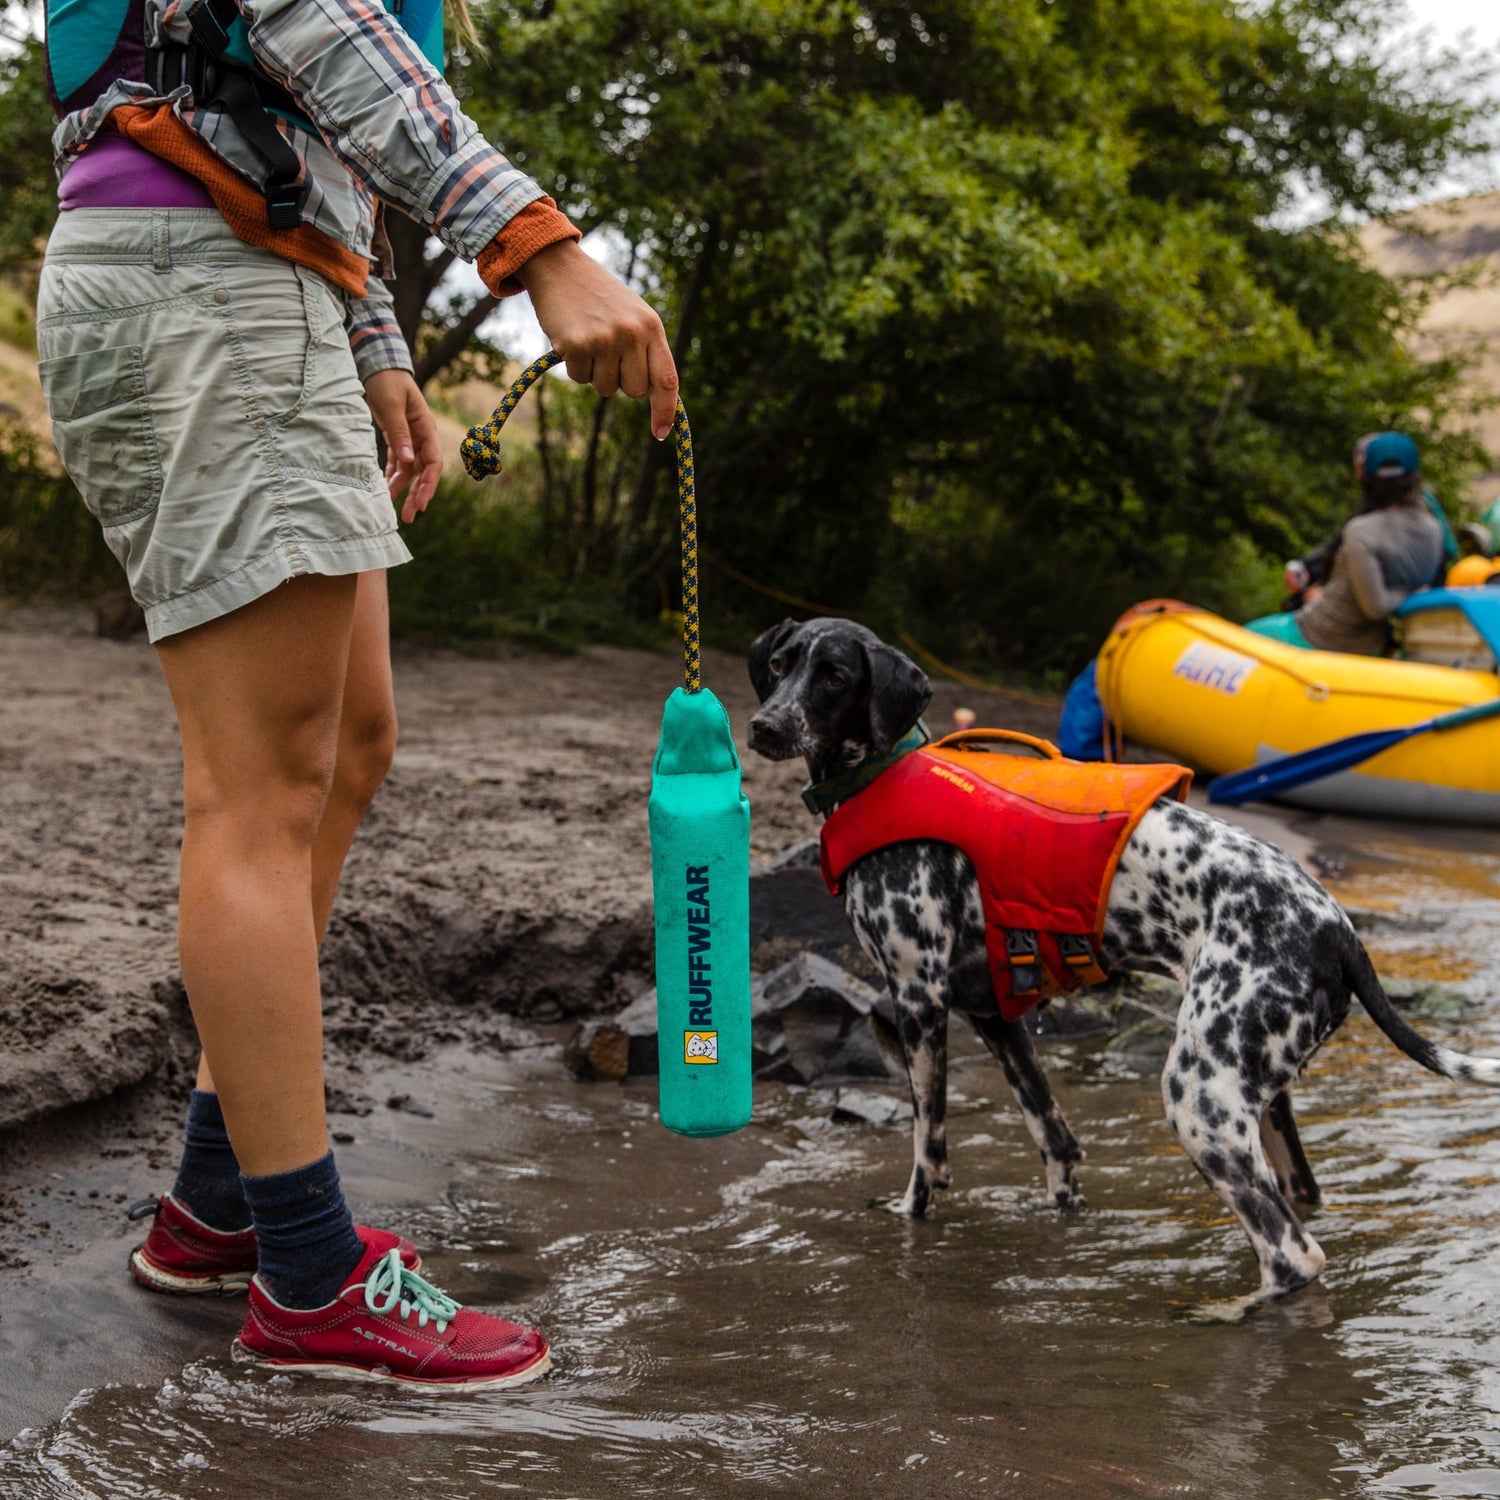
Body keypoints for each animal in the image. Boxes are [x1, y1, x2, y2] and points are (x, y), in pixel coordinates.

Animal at [750, 615, 1500, 1308]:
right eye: (782, 664)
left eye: (836, 677)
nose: (762, 726)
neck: (881, 775)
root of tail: (1337, 928)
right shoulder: (996, 1018)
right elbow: (1055, 1137)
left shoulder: (918, 1003)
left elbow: (926, 1151)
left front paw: (911, 1214)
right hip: (1260, 1106)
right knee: (1301, 1208)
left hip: (1197, 1097)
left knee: (1293, 1252)